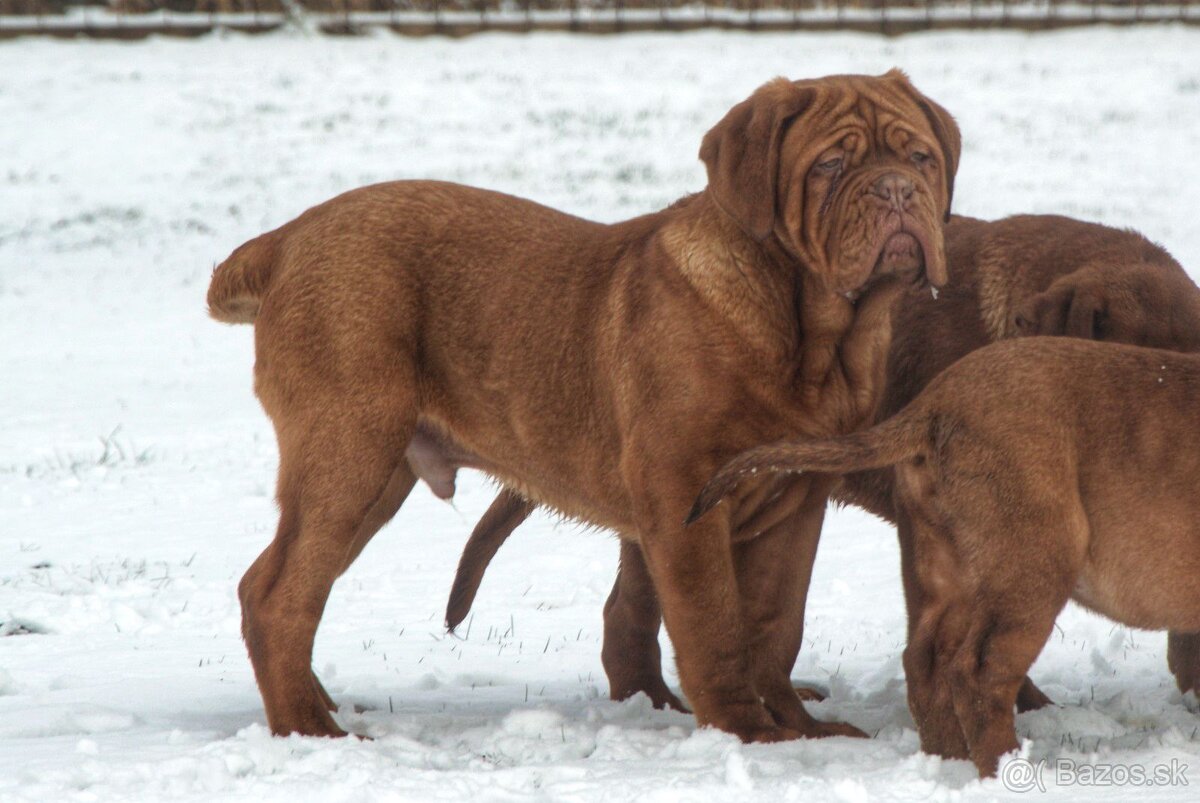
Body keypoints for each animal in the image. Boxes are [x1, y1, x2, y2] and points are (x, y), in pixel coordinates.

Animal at [204, 72, 955, 744]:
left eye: (921, 157)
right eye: (830, 165)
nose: (897, 189)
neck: (808, 335)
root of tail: (287, 237)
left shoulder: (796, 499)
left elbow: (775, 623)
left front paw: (800, 728)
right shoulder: (684, 498)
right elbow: (714, 623)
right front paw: (748, 731)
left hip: (377, 476)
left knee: (280, 583)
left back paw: (316, 704)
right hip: (350, 452)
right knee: (278, 593)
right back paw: (308, 728)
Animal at [686, 338, 1200, 777]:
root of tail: (932, 405)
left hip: (941, 571)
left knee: (925, 664)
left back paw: (949, 763)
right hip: (1034, 563)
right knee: (979, 673)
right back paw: (1010, 771)